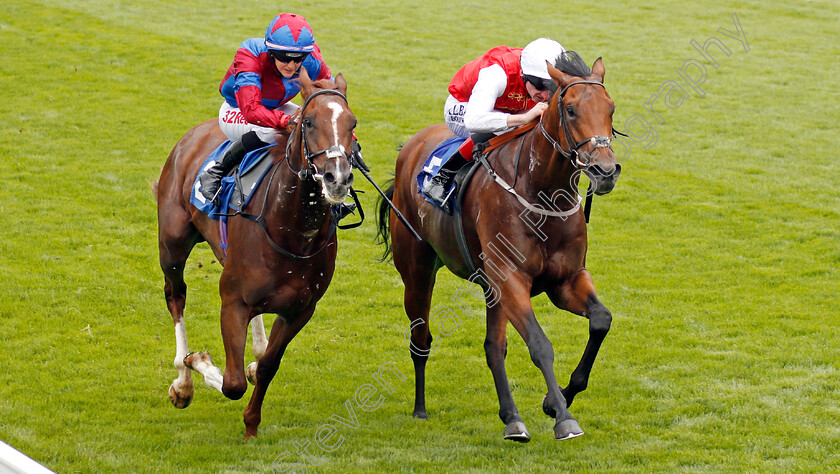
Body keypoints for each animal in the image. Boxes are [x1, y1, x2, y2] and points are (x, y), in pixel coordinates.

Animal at [154, 68, 358, 438]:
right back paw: (183, 381)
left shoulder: (300, 310)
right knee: (175, 296)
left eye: (352, 123)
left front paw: (251, 423)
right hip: (172, 245)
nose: (337, 178)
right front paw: (198, 360)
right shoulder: (232, 301)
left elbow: (266, 367)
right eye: (308, 122)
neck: (293, 236)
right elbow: (232, 383)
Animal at [378, 53, 620, 442]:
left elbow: (601, 320)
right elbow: (540, 345)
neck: (540, 194)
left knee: (494, 347)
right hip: (417, 272)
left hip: (491, 289)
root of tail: (411, 147)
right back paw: (420, 408)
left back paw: (512, 418)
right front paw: (563, 418)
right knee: (421, 338)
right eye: (570, 110)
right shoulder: (511, 279)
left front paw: (557, 400)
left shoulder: (565, 281)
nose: (606, 170)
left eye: (610, 108)